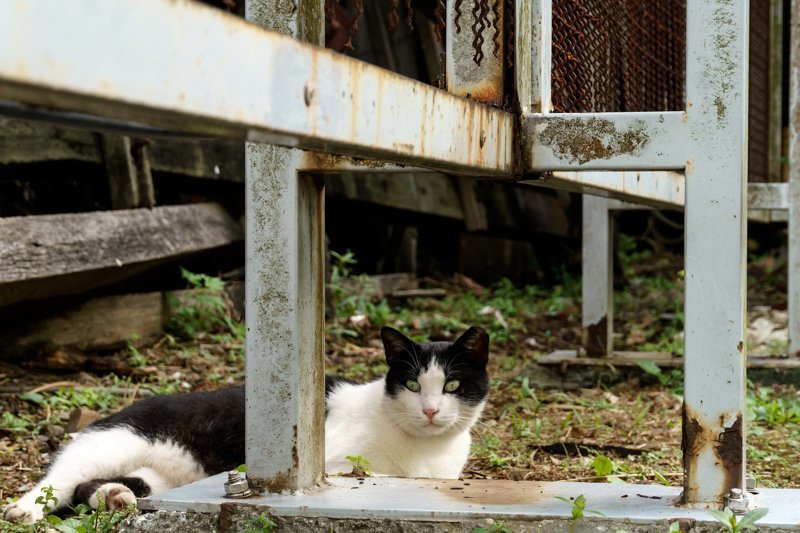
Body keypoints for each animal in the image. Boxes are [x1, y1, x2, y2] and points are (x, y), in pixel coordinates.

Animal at [4, 326, 488, 520]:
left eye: (452, 385)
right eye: (411, 383)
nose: (430, 410)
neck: (423, 449)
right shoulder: (332, 466)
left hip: (162, 477)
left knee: (97, 488)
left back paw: (115, 498)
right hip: (115, 440)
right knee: (60, 481)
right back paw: (24, 510)